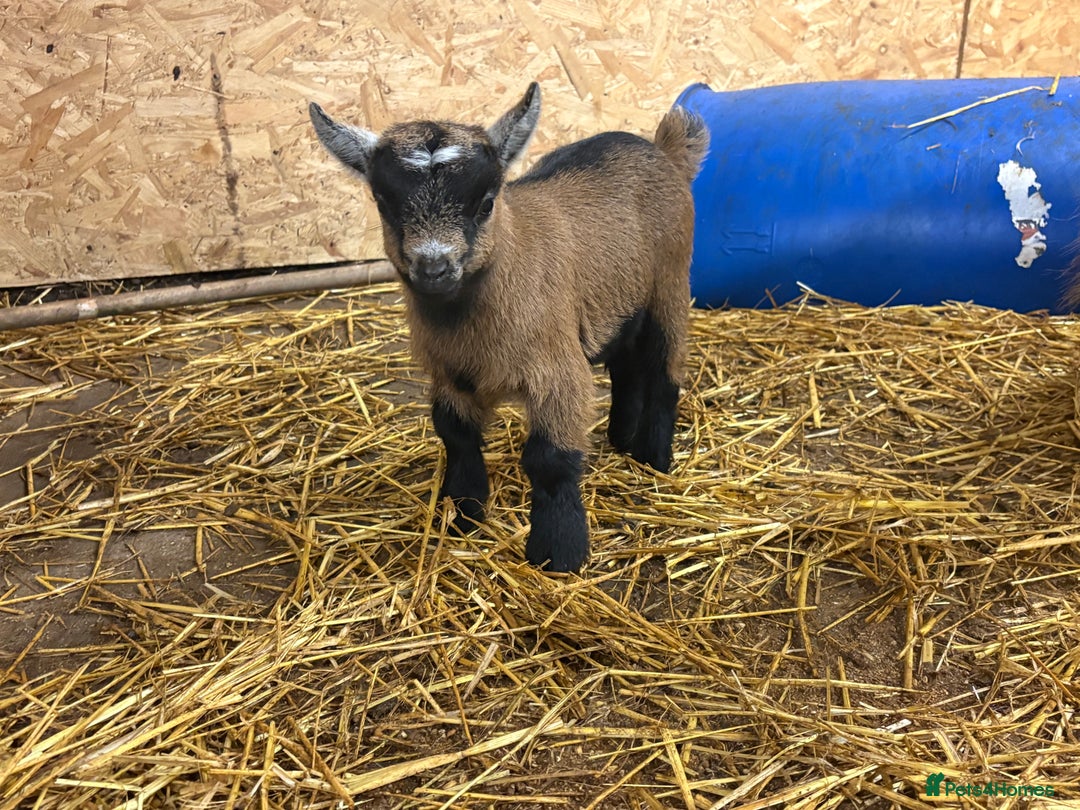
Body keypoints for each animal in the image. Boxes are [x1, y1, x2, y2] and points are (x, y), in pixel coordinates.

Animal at [309, 83, 708, 572]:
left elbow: (550, 460)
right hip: (619, 300)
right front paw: (462, 512)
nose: (434, 268)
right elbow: (455, 434)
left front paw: (558, 553)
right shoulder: (448, 372)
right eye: (384, 204)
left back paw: (654, 459)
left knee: (665, 369)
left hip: (670, 283)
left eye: (485, 203)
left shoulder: (557, 370)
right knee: (626, 366)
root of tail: (663, 150)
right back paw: (620, 439)